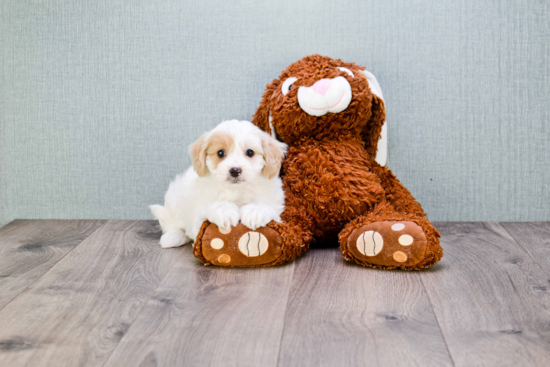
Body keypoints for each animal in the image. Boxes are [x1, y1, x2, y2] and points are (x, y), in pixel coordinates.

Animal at [151, 119, 288, 249]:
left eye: (250, 152)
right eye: (220, 153)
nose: (235, 170)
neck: (236, 189)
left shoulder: (275, 205)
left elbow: (266, 206)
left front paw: (255, 211)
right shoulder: (198, 216)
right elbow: (209, 210)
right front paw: (224, 210)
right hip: (174, 199)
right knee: (172, 223)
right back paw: (173, 237)